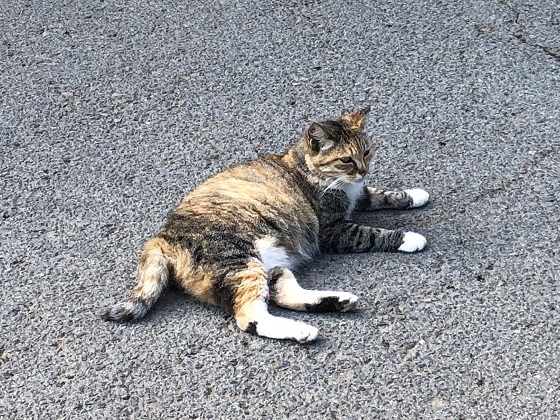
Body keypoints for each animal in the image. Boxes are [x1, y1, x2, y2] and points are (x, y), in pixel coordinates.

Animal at [99, 106, 428, 342]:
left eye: (367, 151)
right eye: (346, 160)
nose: (363, 170)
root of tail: (162, 238)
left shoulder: (358, 196)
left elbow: (381, 194)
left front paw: (415, 194)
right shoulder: (334, 231)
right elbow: (373, 233)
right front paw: (410, 237)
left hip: (271, 261)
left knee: (282, 292)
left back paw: (336, 301)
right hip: (240, 260)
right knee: (250, 316)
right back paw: (302, 330)